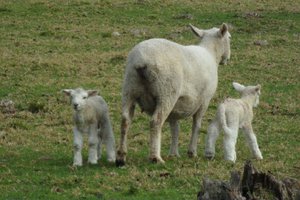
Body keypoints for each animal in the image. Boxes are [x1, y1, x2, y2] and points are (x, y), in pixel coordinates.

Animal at [116, 23, 231, 166]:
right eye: (230, 38)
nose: (227, 59)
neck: (210, 53)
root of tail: (141, 61)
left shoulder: (176, 107)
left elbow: (175, 128)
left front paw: (174, 153)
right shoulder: (204, 101)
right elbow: (196, 125)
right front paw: (192, 152)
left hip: (129, 89)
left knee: (125, 120)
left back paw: (121, 157)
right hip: (167, 93)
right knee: (156, 121)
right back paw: (155, 157)